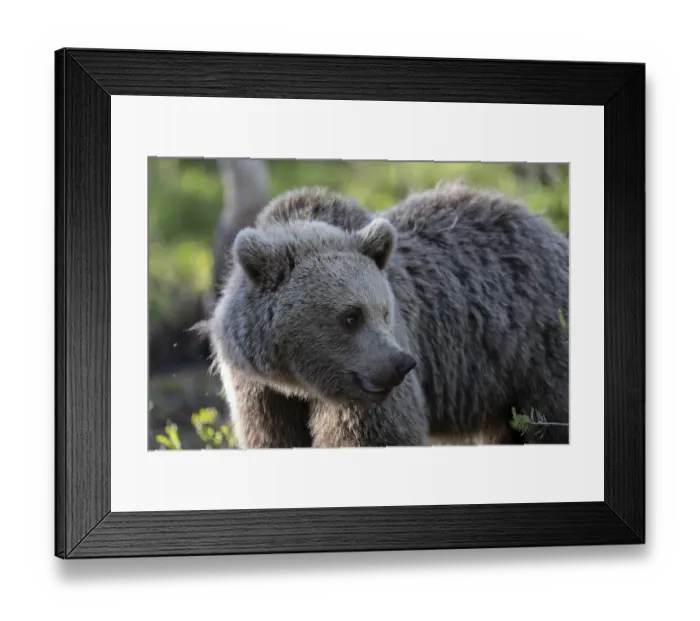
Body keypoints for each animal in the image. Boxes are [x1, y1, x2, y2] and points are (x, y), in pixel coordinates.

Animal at [205, 180, 569, 448]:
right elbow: (272, 437)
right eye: (351, 316)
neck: (299, 381)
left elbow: (380, 435)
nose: (401, 363)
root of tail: (548, 228)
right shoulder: (260, 392)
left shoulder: (365, 394)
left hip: (535, 350)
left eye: (384, 313)